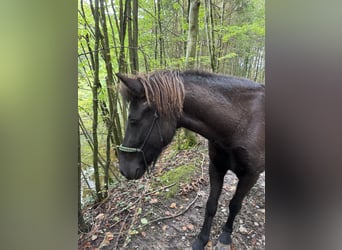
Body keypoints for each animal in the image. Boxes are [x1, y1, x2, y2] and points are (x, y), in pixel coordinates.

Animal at [115, 70, 264, 250]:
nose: (123, 168)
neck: (242, 124)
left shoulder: (250, 176)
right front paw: (202, 239)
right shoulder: (216, 168)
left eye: (133, 120)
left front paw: (225, 236)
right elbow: (211, 205)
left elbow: (234, 205)